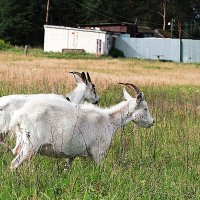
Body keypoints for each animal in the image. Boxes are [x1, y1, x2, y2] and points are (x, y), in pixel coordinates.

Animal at [9, 83, 153, 170]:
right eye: (145, 108)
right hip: (31, 145)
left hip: (22, 141)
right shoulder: (98, 152)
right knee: (14, 163)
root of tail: (19, 116)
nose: (152, 122)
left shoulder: (71, 154)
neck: (109, 120)